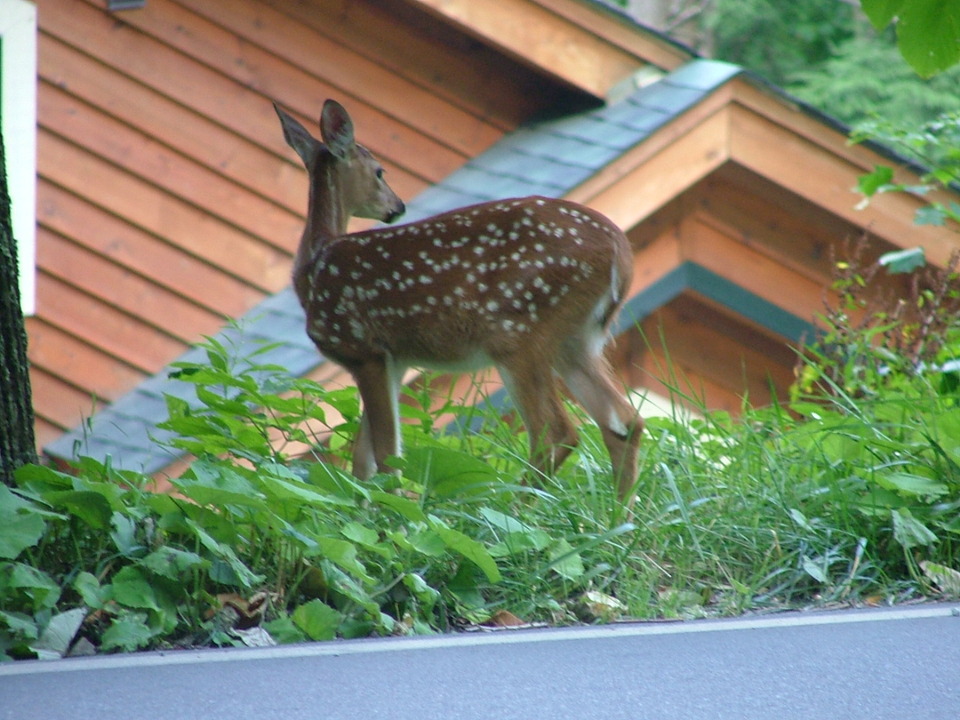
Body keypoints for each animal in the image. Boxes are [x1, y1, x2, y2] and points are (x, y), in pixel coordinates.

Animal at [275, 99, 643, 504]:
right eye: (379, 172)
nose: (397, 207)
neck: (314, 266)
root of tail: (620, 252)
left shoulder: (362, 349)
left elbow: (384, 457)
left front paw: (391, 509)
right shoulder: (393, 360)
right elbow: (365, 460)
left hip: (519, 330)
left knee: (556, 431)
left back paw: (510, 509)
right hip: (576, 340)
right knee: (623, 421)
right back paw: (616, 517)